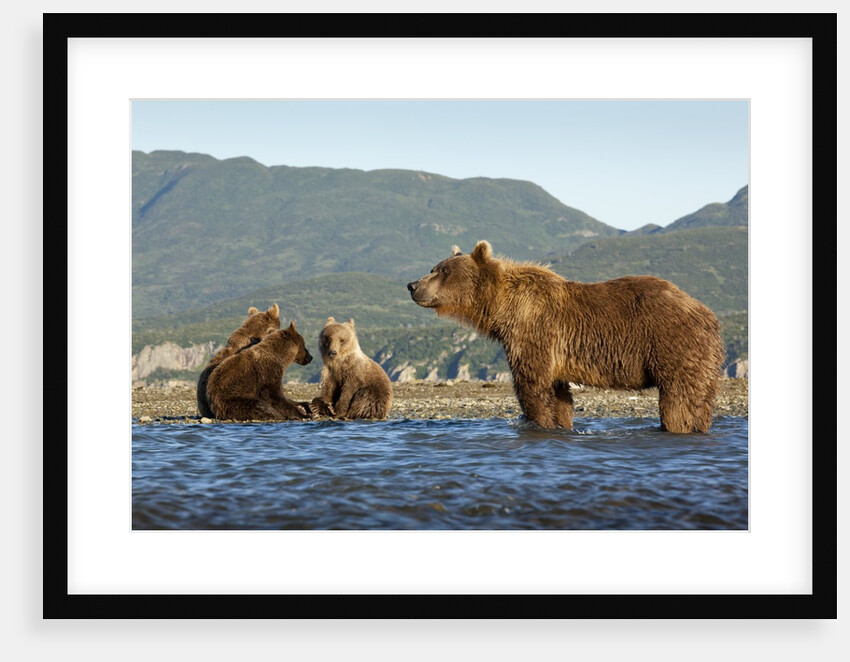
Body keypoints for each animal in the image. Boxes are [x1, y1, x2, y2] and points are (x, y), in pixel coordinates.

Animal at [407, 240, 725, 433]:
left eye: (442, 271)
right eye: (433, 267)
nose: (412, 285)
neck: (502, 308)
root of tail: (708, 314)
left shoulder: (534, 332)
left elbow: (533, 385)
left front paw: (536, 421)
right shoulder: (554, 353)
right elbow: (559, 395)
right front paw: (561, 424)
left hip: (674, 344)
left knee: (680, 399)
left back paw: (675, 427)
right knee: (700, 400)